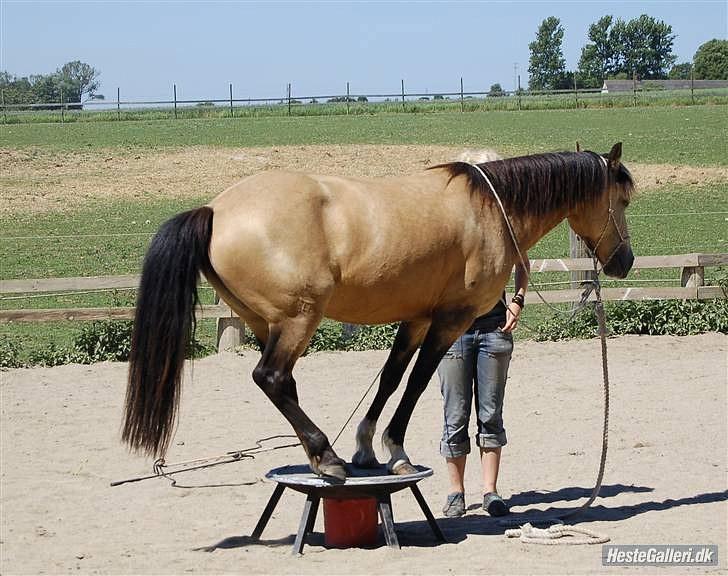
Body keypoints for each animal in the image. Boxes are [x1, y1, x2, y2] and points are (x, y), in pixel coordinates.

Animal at [122, 143, 634, 481]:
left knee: (282, 384)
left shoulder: (418, 317)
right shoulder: (451, 320)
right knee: (271, 377)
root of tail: (215, 210)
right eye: (624, 199)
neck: (490, 208)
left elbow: (390, 377)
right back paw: (326, 457)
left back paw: (322, 454)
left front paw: (367, 447)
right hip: (298, 319)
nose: (624, 261)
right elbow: (417, 382)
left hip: (264, 322)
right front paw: (396, 449)